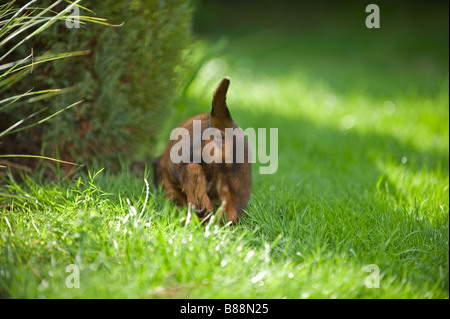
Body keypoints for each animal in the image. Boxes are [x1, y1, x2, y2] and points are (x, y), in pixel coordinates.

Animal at [153, 77, 251, 224]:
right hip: (236, 184)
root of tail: (220, 129)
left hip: (180, 164)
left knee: (192, 171)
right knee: (230, 212)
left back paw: (200, 210)